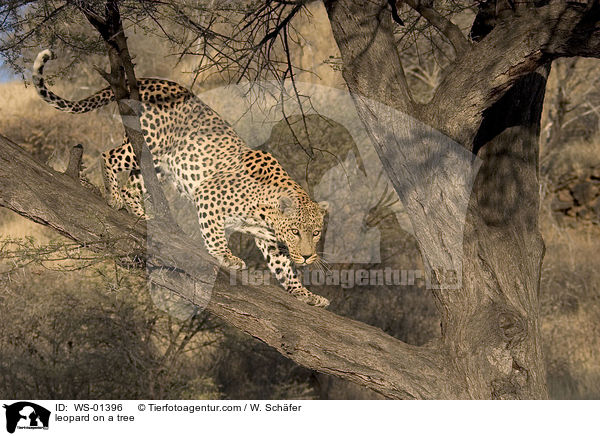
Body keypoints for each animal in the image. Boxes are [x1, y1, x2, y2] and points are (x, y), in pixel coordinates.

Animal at [31, 49, 332, 308]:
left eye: (316, 232)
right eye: (296, 232)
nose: (309, 256)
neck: (267, 214)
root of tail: (149, 80)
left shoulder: (269, 240)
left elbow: (284, 268)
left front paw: (305, 294)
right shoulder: (208, 195)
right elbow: (213, 233)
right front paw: (226, 257)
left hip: (157, 166)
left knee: (133, 186)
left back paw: (142, 214)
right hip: (149, 144)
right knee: (110, 156)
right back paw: (114, 197)